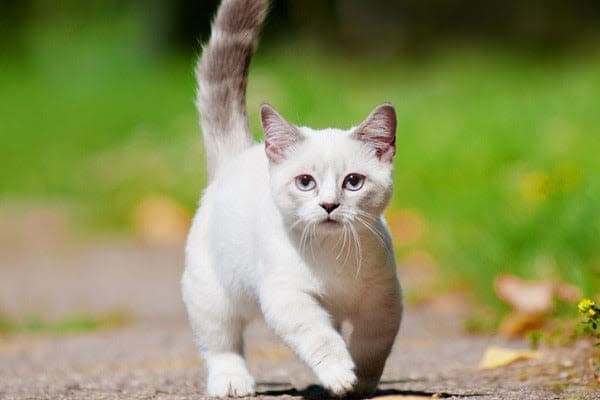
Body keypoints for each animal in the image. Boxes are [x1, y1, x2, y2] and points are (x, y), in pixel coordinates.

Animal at [180, 0, 400, 396]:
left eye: (353, 182)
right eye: (305, 182)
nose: (329, 205)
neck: (333, 260)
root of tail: (240, 153)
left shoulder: (384, 301)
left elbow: (373, 346)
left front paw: (360, 381)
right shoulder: (288, 297)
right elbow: (319, 338)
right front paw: (340, 374)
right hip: (211, 293)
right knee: (221, 344)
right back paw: (231, 381)